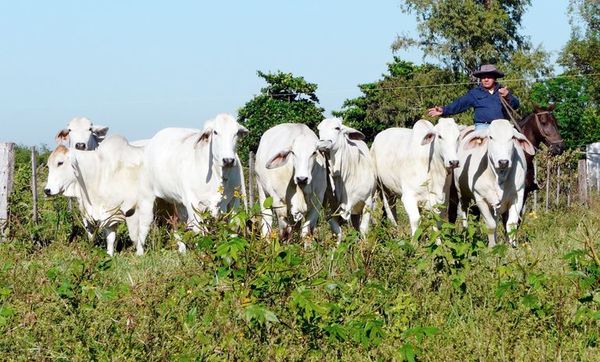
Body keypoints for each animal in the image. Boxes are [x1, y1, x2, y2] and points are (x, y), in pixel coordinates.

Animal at [137, 114, 248, 250]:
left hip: (177, 203)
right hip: (147, 197)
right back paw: (140, 251)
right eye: (215, 132)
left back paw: (182, 250)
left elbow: (233, 227)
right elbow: (199, 231)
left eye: (236, 133)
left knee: (177, 224)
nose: (228, 160)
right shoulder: (192, 202)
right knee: (144, 224)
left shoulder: (234, 201)